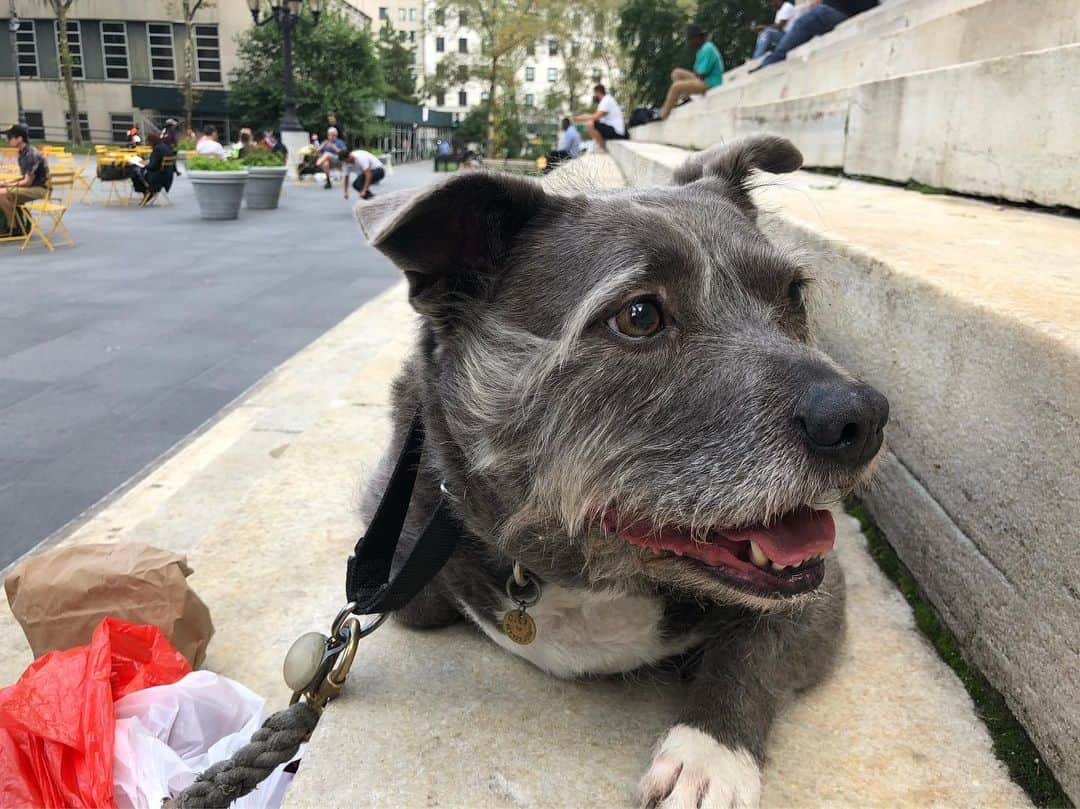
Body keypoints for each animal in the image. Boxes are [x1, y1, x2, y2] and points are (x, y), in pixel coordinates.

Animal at [354, 135, 885, 803]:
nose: (864, 419)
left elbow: (748, 655)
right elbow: (420, 602)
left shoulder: (818, 594)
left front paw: (709, 755)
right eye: (638, 316)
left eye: (791, 293)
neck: (585, 572)